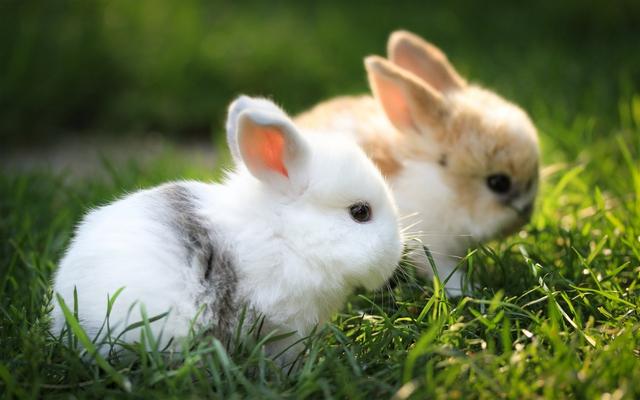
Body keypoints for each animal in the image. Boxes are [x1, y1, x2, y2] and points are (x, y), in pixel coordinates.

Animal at [296, 30, 540, 294]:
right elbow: (443, 271)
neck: (442, 187)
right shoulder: (429, 246)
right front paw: (468, 290)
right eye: (498, 183)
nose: (525, 217)